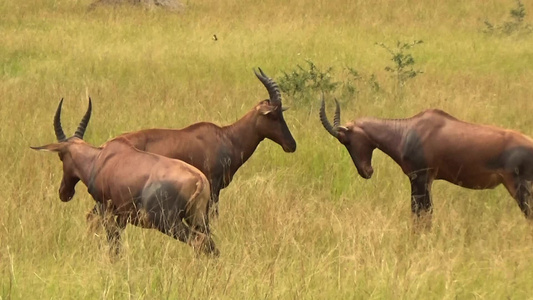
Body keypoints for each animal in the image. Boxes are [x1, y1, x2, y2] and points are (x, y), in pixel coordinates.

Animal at [32, 98, 218, 255]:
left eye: (60, 156)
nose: (64, 193)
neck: (101, 158)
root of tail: (198, 180)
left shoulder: (106, 208)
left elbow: (112, 240)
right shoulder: (122, 215)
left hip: (168, 222)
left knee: (198, 241)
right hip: (199, 218)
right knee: (210, 244)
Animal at [318, 97, 532, 229]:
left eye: (345, 140)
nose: (366, 171)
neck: (408, 130)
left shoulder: (419, 178)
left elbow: (420, 212)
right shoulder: (428, 180)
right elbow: (425, 213)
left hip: (519, 187)